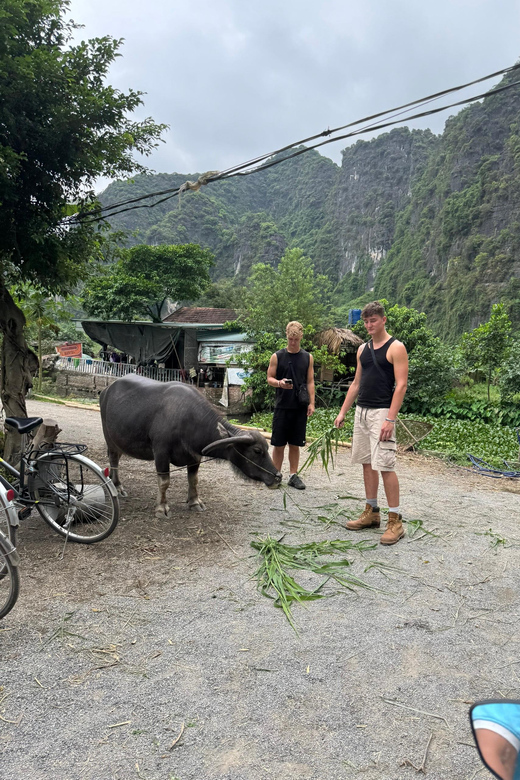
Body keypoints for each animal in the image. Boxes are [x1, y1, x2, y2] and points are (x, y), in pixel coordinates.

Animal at [99, 374, 282, 516]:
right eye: (257, 451)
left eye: (267, 448)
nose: (277, 477)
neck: (187, 419)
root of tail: (106, 390)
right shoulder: (161, 452)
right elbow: (164, 482)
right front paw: (162, 508)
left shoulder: (195, 456)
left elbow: (193, 480)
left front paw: (194, 502)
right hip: (109, 437)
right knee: (114, 459)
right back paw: (117, 486)